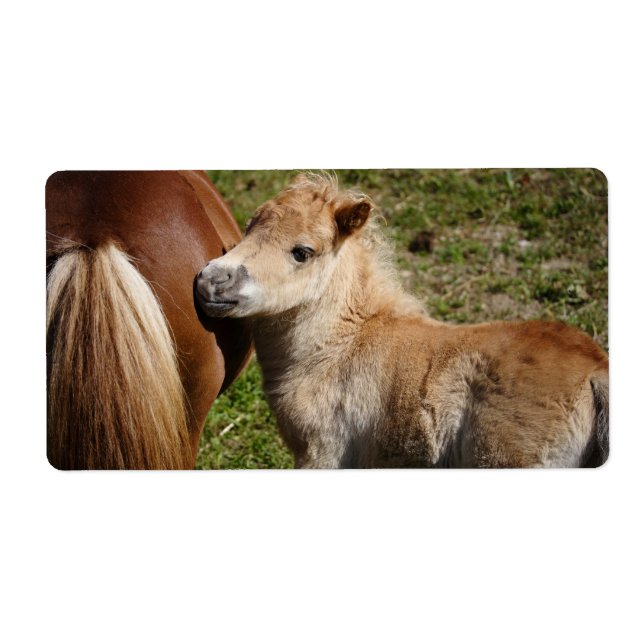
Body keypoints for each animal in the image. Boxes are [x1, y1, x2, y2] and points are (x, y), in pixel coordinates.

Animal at [195, 173, 609, 468]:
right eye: (249, 227)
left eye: (302, 252)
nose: (210, 280)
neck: (337, 350)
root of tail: (595, 372)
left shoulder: (323, 453)